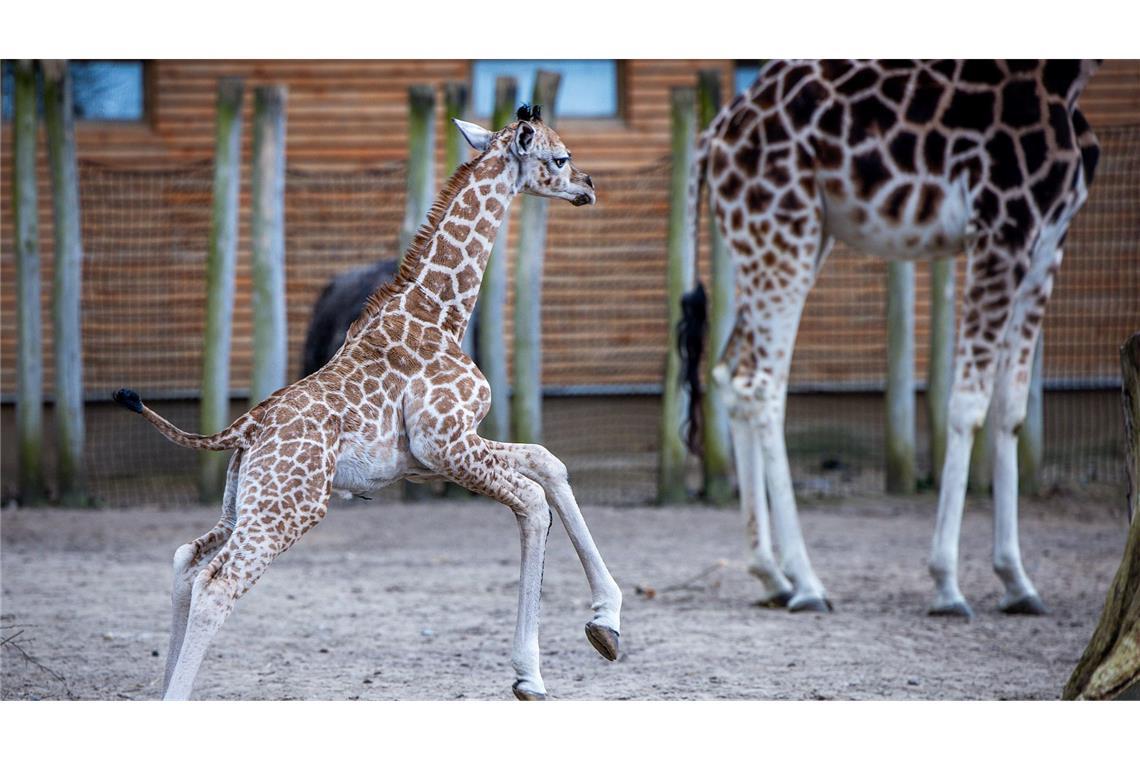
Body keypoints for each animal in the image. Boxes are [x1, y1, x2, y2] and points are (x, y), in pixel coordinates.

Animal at [113, 107, 624, 701]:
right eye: (560, 158)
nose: (588, 186)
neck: (440, 312)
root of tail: (245, 426)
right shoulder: (448, 445)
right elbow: (534, 502)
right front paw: (530, 677)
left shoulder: (433, 458)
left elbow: (548, 462)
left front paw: (606, 625)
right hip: (290, 506)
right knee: (218, 584)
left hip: (245, 501)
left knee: (187, 561)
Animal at [679, 59, 1098, 619]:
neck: (1064, 82)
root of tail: (714, 135)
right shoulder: (1003, 226)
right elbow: (968, 403)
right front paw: (947, 585)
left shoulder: (1049, 238)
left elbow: (1011, 410)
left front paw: (1017, 580)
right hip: (782, 232)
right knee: (759, 384)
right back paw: (807, 581)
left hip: (789, 239)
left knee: (730, 373)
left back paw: (772, 575)